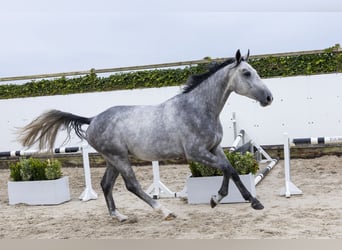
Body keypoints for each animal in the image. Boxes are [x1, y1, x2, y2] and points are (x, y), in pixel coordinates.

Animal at [19, 49, 276, 222]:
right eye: (246, 73)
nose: (269, 97)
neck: (197, 108)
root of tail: (93, 119)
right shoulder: (196, 153)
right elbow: (228, 168)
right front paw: (238, 200)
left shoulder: (214, 149)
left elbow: (230, 169)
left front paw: (228, 199)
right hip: (120, 158)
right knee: (132, 185)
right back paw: (164, 211)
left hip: (114, 159)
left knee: (106, 184)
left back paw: (119, 216)